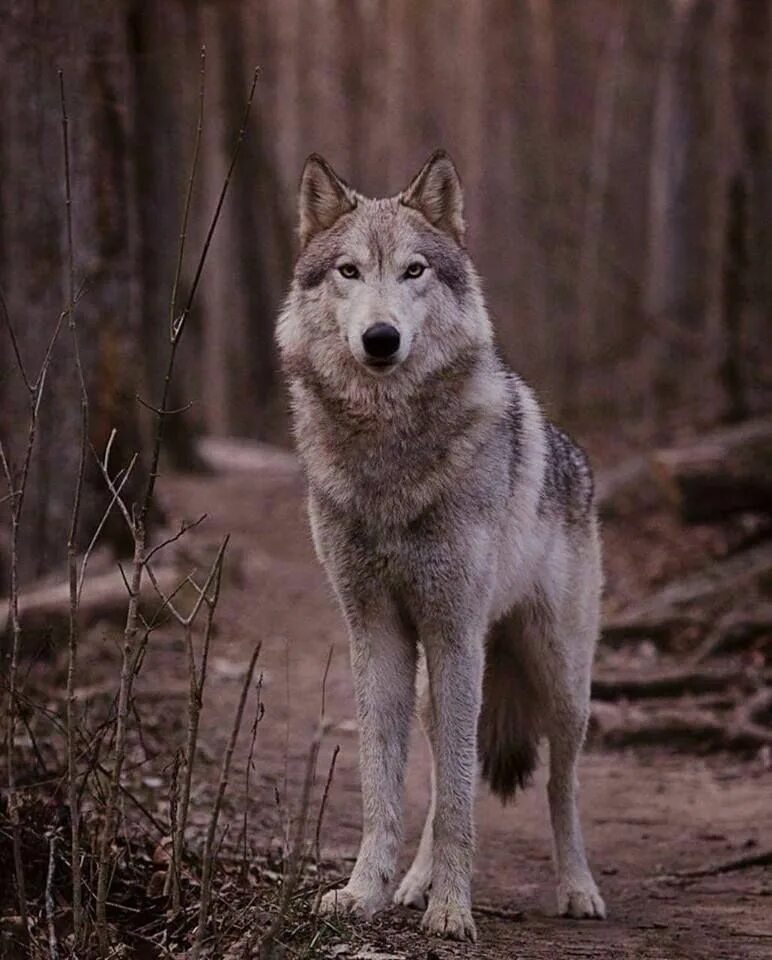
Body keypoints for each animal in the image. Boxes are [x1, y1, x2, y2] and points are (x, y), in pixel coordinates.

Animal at [274, 152, 608, 944]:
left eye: (415, 270)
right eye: (349, 271)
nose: (381, 338)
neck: (387, 452)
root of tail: (577, 455)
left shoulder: (454, 631)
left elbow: (459, 797)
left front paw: (454, 910)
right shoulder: (376, 632)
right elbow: (385, 788)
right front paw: (365, 893)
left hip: (559, 682)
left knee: (563, 786)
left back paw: (577, 889)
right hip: (446, 679)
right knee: (438, 767)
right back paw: (414, 884)